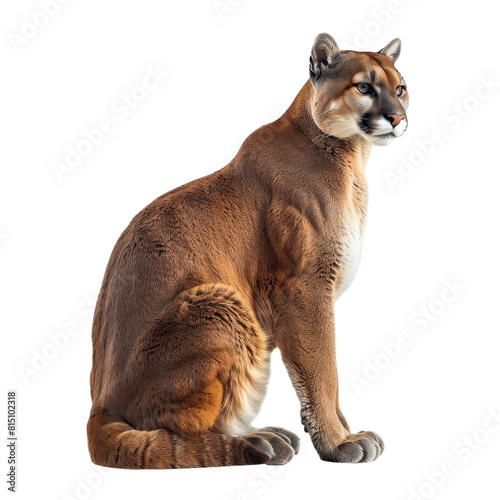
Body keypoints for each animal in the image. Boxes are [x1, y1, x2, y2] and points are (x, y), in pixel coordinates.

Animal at [88, 33, 408, 466]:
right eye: (364, 87)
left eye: (400, 88)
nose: (398, 117)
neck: (352, 157)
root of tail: (99, 401)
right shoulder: (305, 288)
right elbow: (324, 370)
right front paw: (338, 443)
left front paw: (341, 432)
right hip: (219, 303)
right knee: (178, 431)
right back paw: (256, 443)